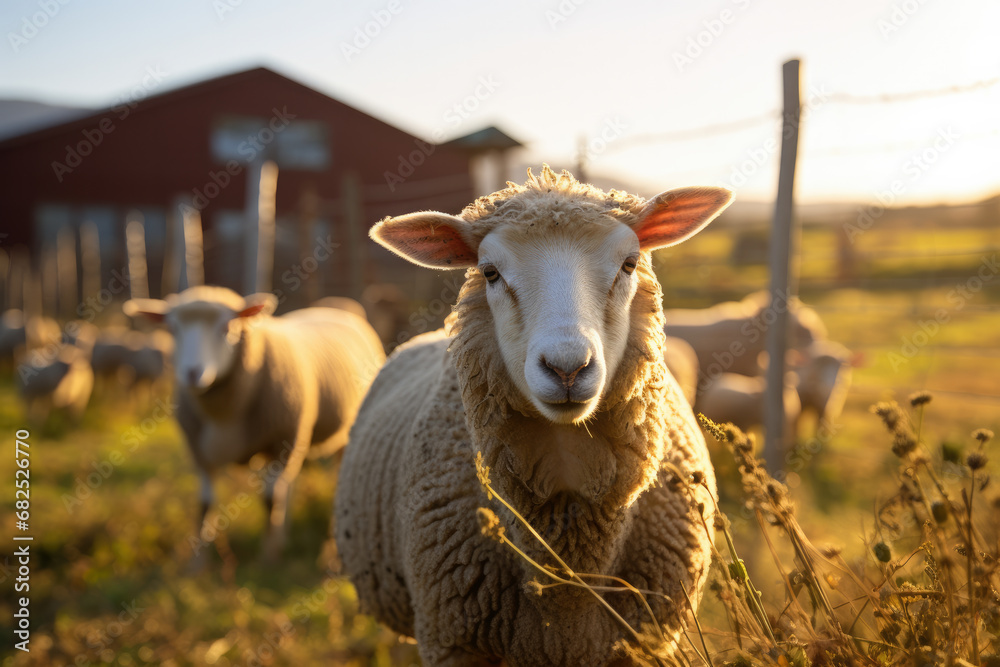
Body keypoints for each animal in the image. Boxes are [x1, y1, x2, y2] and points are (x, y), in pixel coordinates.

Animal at [124, 285, 385, 560]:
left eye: (227, 328)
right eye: (172, 329)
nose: (192, 373)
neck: (224, 417)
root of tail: (332, 309)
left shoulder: (279, 443)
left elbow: (269, 500)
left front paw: (269, 557)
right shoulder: (200, 452)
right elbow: (204, 504)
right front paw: (199, 560)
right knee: (288, 484)